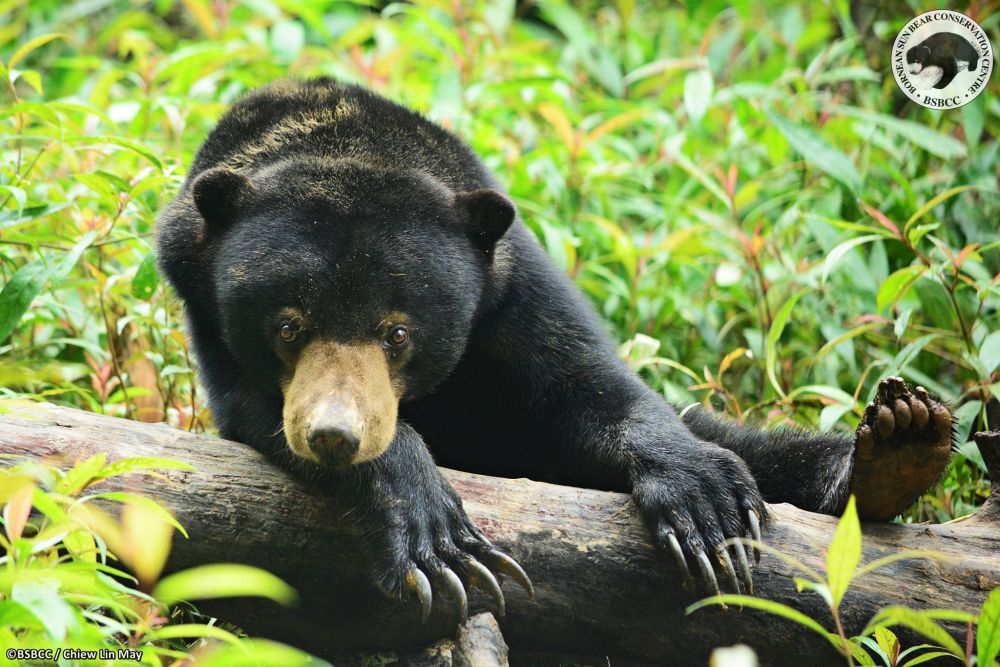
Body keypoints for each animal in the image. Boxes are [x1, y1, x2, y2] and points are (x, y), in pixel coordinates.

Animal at [156, 79, 954, 619]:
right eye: (288, 326)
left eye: (398, 332)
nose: (334, 435)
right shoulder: (202, 303)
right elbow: (257, 410)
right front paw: (438, 538)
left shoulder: (508, 284)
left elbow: (589, 389)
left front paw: (709, 509)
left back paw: (899, 441)